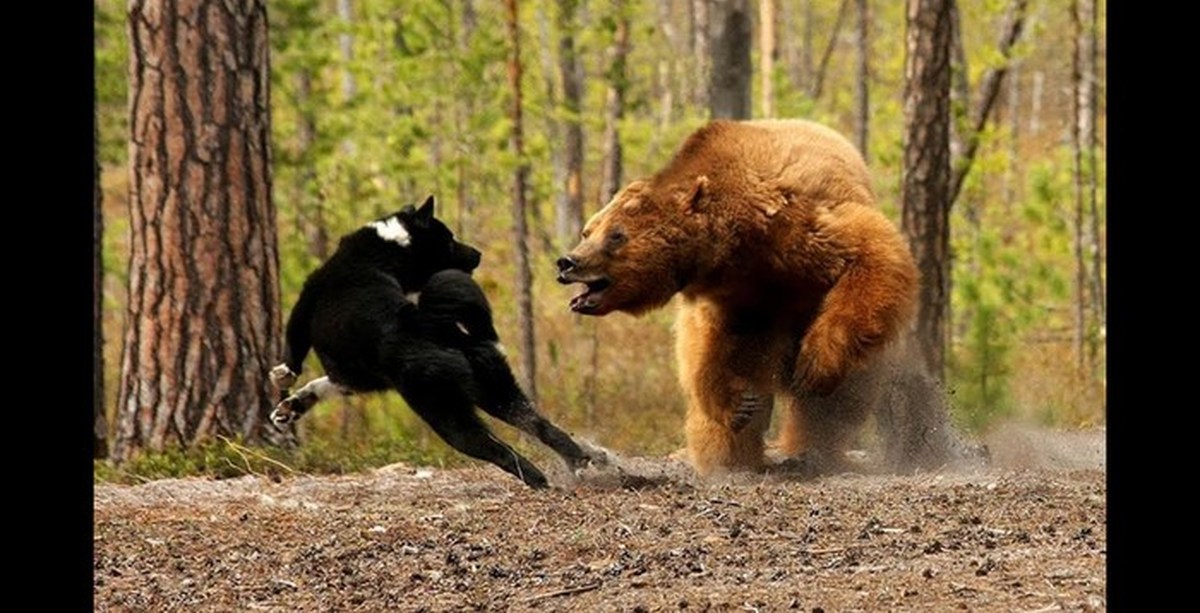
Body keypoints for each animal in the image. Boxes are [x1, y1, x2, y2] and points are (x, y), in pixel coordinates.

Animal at [265, 196, 597, 489]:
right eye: (449, 238)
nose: (478, 254)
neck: (385, 251)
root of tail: (429, 325)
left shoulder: (305, 305)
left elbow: (293, 349)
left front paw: (283, 377)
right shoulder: (359, 376)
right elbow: (321, 385)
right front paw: (291, 407)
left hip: (443, 411)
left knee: (499, 449)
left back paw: (540, 481)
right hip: (495, 389)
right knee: (541, 425)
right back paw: (582, 462)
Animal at [559, 118, 916, 475]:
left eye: (616, 235)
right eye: (588, 231)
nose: (568, 262)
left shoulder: (798, 227)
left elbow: (872, 253)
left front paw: (814, 364)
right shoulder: (736, 300)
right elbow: (716, 353)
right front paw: (740, 406)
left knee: (839, 400)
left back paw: (814, 449)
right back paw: (728, 457)